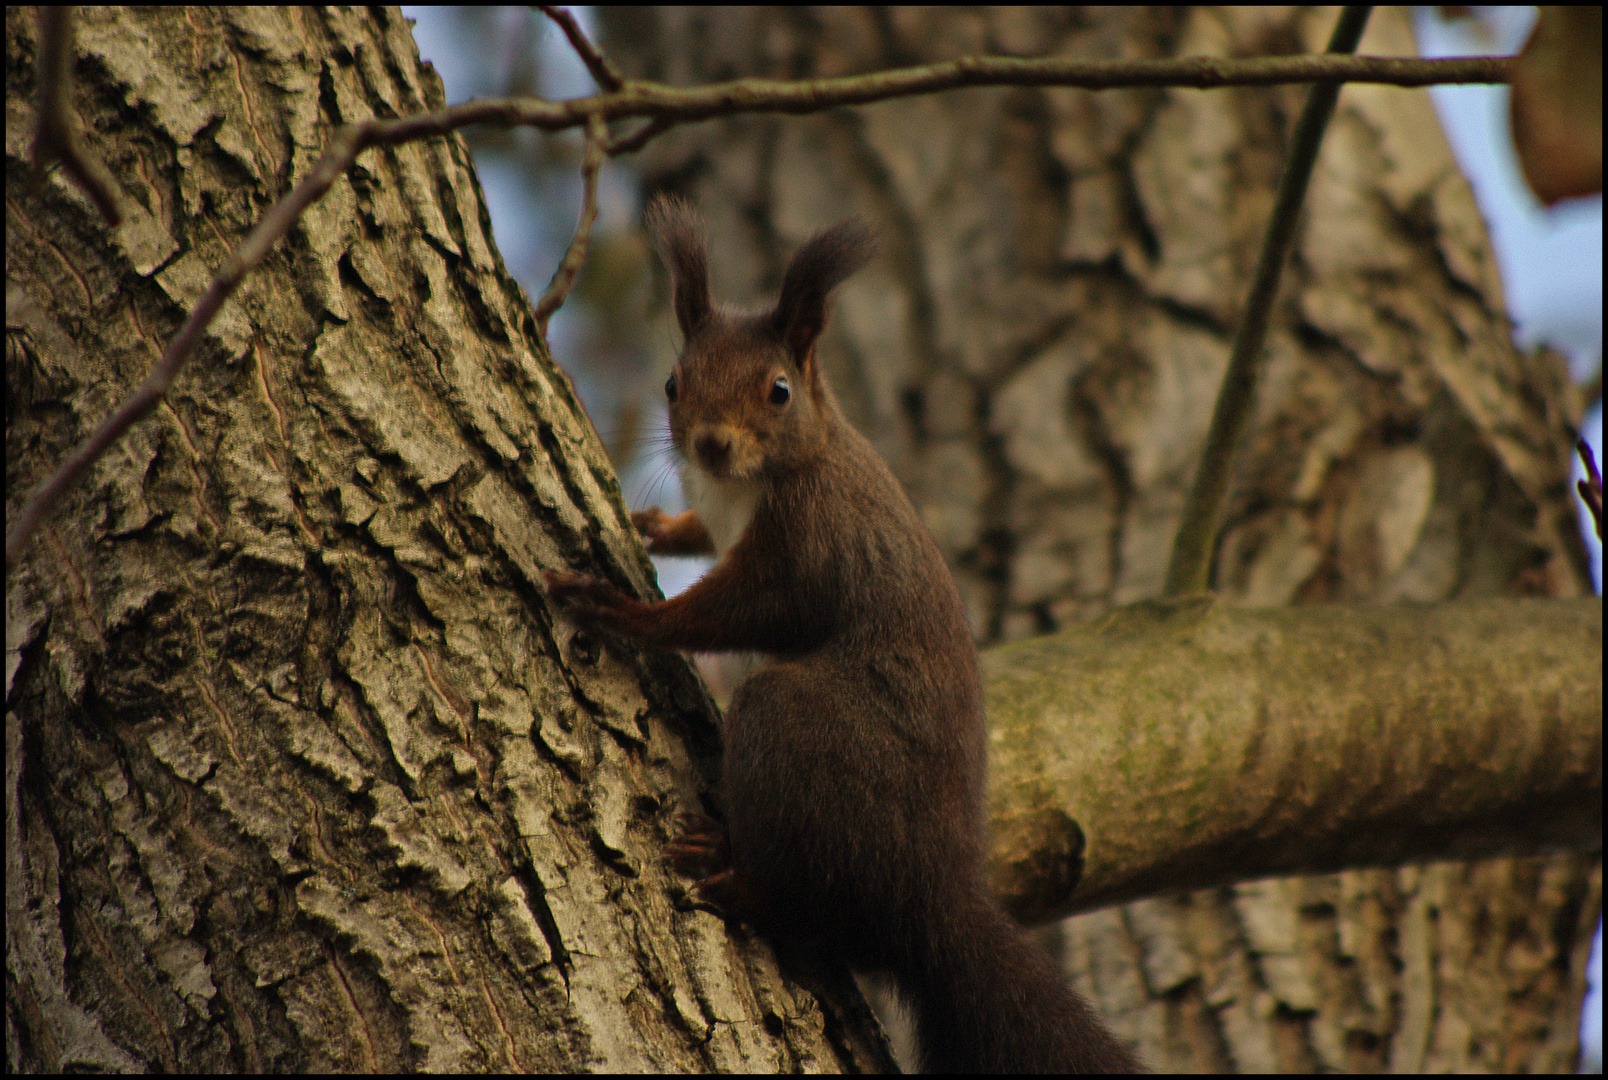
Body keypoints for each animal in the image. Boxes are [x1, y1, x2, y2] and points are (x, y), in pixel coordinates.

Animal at [546, 196, 1138, 1073]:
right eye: (674, 382)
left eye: (779, 390)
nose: (712, 442)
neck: (754, 480)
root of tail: (936, 901)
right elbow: (699, 538)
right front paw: (655, 526)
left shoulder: (806, 549)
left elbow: (730, 613)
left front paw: (619, 608)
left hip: (799, 740)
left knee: (809, 898)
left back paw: (735, 877)